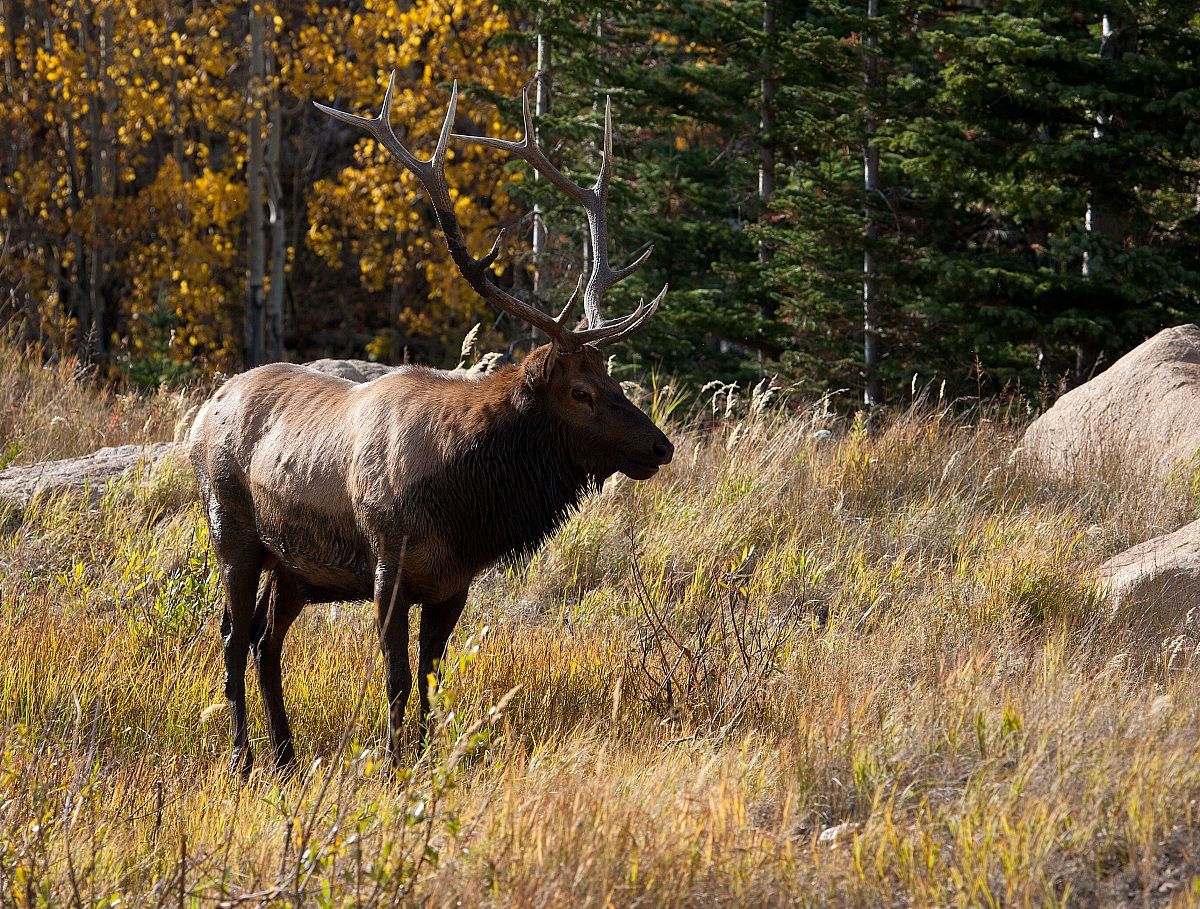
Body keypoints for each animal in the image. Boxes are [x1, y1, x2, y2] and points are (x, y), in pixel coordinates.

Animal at [189, 72, 674, 777]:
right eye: (581, 391)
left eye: (612, 379)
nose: (660, 446)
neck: (461, 500)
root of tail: (205, 409)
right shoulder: (389, 568)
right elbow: (393, 677)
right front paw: (394, 763)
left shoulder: (452, 585)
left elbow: (428, 677)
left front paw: (426, 754)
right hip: (233, 533)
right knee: (231, 637)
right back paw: (245, 760)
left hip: (296, 568)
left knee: (264, 641)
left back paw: (285, 754)